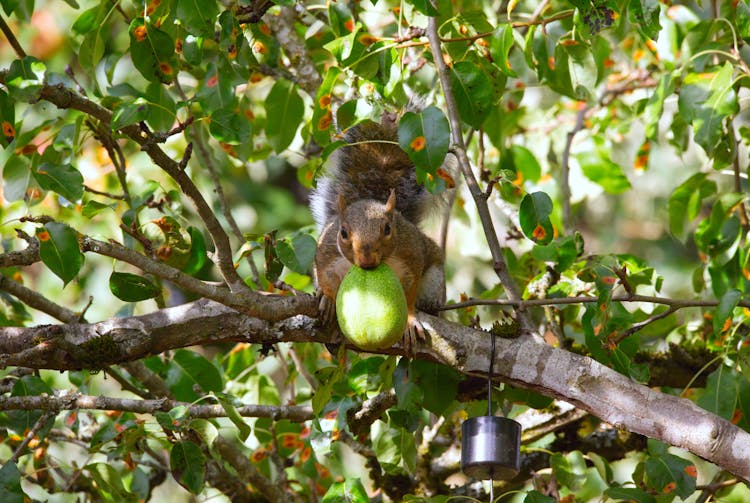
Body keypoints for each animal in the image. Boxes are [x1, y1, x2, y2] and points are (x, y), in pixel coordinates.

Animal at [312, 114, 446, 352]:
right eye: (343, 232)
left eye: (388, 229)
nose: (366, 260)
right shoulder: (326, 253)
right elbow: (325, 275)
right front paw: (326, 298)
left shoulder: (411, 254)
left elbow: (410, 291)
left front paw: (410, 320)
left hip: (433, 281)